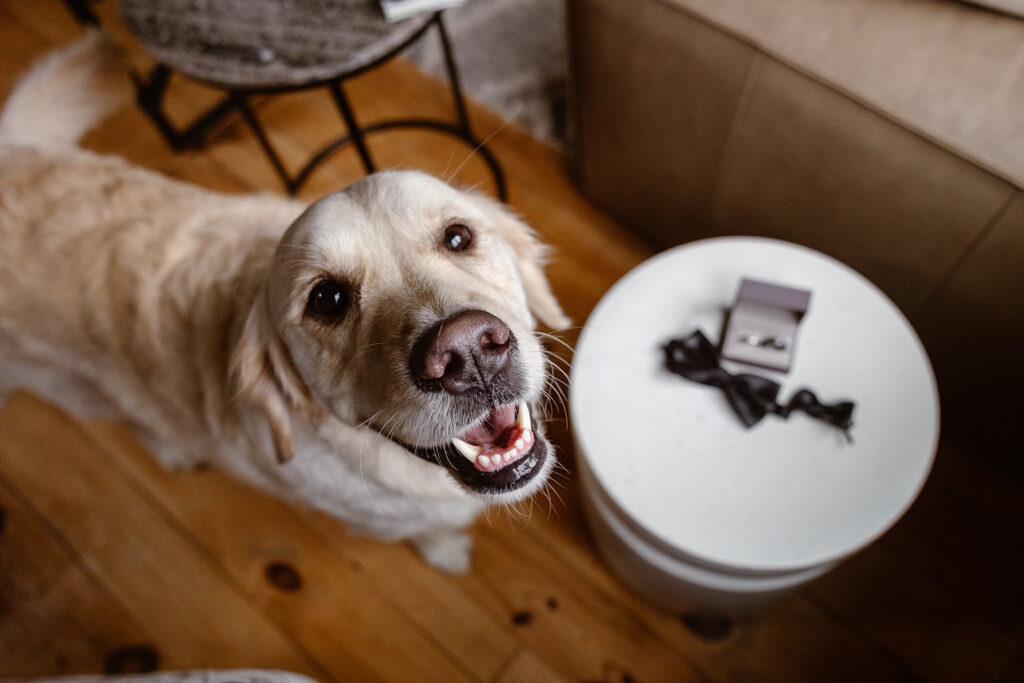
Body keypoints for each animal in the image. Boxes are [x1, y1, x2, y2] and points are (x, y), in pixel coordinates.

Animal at [0, 34, 569, 573]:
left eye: (457, 237)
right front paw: (446, 549)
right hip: (74, 388)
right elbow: (429, 529)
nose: (467, 352)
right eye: (328, 299)